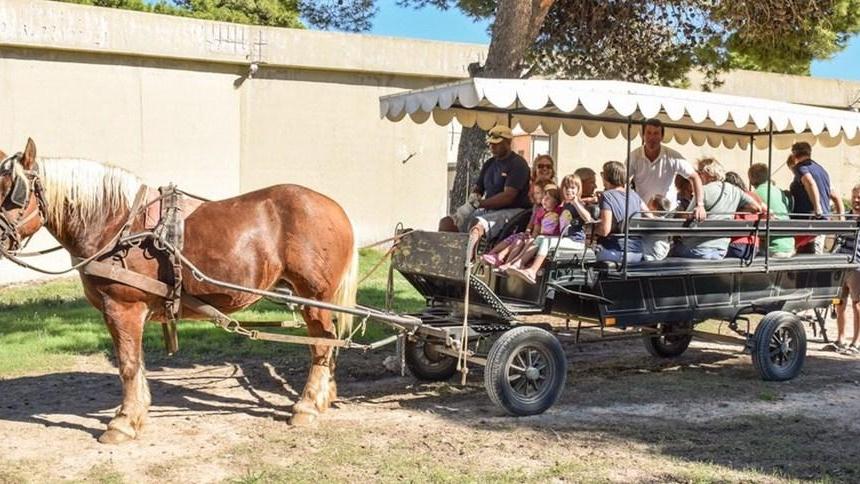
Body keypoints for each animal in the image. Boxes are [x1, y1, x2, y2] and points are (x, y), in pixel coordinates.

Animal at [0, 139, 359, 444]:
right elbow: (136, 364)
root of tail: (335, 209)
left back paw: (307, 405)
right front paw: (136, 413)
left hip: (314, 296)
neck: (119, 227)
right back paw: (324, 395)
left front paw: (123, 423)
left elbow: (128, 364)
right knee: (327, 344)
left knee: (321, 344)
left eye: (11, 192)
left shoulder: (123, 307)